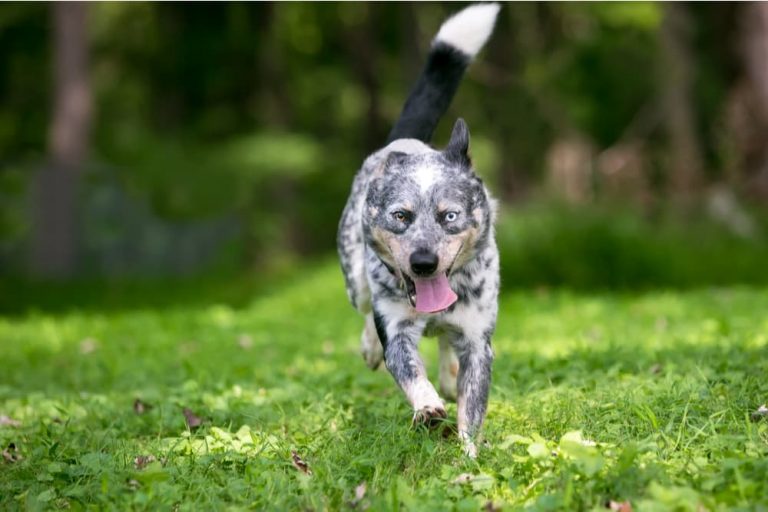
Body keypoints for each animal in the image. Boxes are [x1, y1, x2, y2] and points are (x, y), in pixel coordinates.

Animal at [336, 2, 498, 458]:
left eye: (449, 216)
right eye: (401, 216)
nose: (423, 262)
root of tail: (404, 141)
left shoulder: (478, 341)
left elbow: (472, 407)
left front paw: (470, 454)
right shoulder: (398, 330)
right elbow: (408, 370)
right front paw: (427, 407)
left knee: (446, 349)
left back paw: (448, 373)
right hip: (356, 280)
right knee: (365, 311)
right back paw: (372, 348)